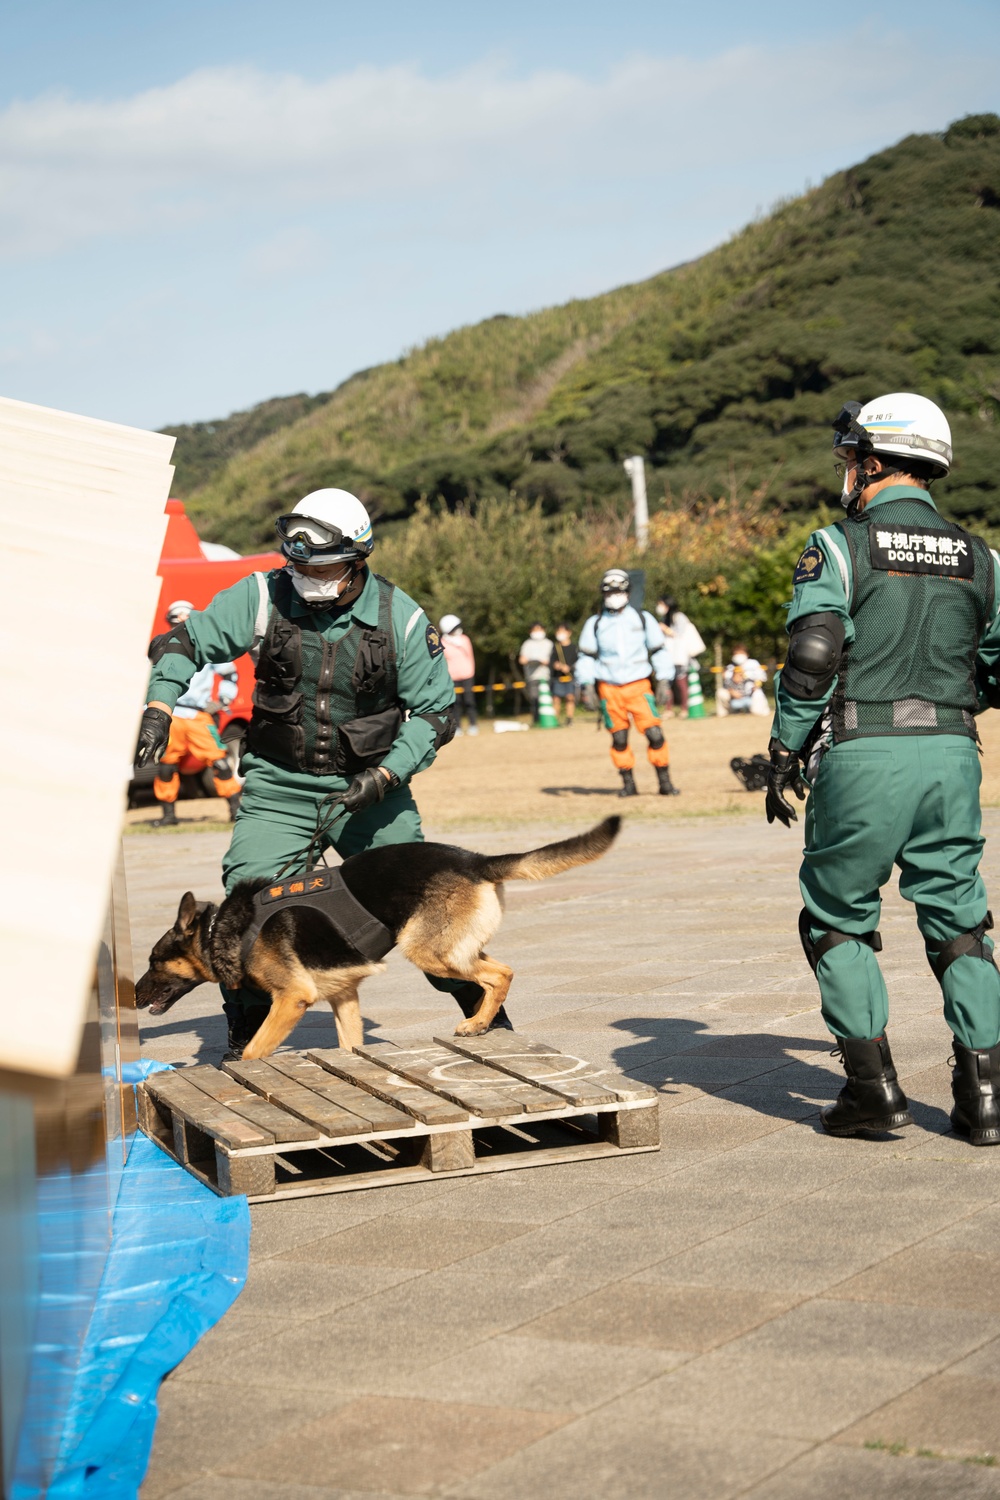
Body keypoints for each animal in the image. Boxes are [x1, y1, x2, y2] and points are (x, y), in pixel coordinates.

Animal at [132, 822, 617, 1056]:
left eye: (153, 962)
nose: (132, 995)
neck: (225, 927)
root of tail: (475, 860)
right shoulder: (343, 997)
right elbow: (350, 1047)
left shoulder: (292, 999)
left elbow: (254, 1051)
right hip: (454, 947)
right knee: (495, 972)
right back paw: (483, 1022)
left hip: (428, 951)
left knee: (501, 974)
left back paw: (477, 1023)